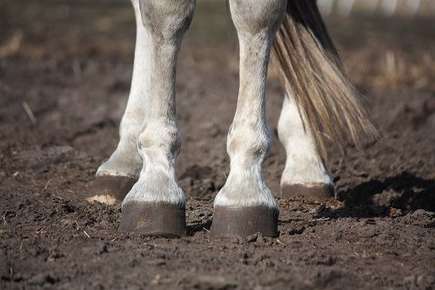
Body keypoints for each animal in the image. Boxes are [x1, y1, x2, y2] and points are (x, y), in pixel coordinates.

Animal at [86, 0, 378, 238]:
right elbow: (162, 14)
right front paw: (155, 185)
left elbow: (255, 15)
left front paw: (244, 192)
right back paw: (125, 156)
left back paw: (306, 159)